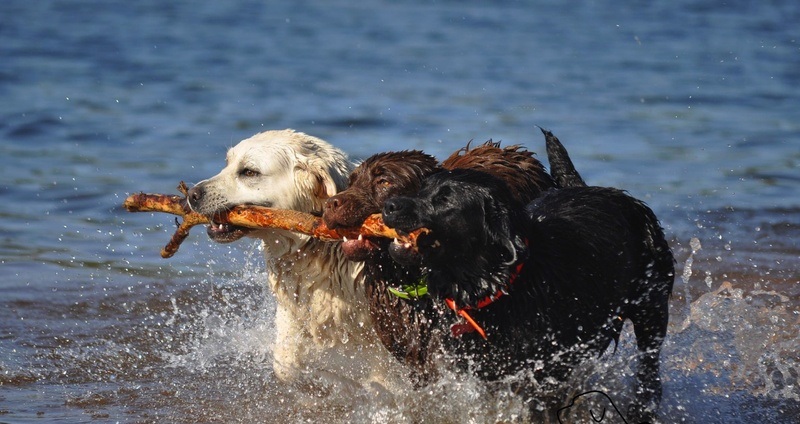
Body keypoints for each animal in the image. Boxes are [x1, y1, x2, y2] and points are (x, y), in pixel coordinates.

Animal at [185, 130, 404, 394]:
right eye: (227, 163)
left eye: (249, 172)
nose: (192, 195)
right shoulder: (295, 305)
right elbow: (285, 365)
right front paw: (327, 384)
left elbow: (384, 380)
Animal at [382, 168, 676, 418]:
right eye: (422, 188)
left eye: (445, 199)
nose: (389, 205)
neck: (502, 285)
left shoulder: (543, 374)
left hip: (652, 307)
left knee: (650, 369)